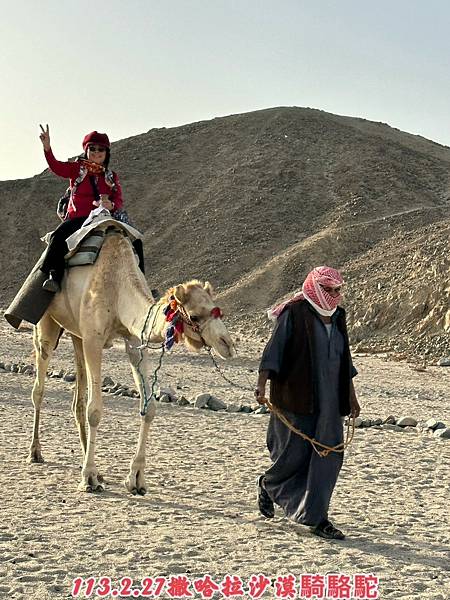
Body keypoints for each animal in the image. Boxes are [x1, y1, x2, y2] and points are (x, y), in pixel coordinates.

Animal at [29, 225, 234, 492]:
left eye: (217, 310)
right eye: (195, 316)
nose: (227, 345)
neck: (119, 289)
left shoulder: (135, 341)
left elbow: (149, 408)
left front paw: (135, 479)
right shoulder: (94, 339)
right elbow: (95, 410)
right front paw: (89, 478)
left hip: (76, 333)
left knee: (77, 398)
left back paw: (90, 461)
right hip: (47, 324)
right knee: (40, 386)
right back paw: (36, 452)